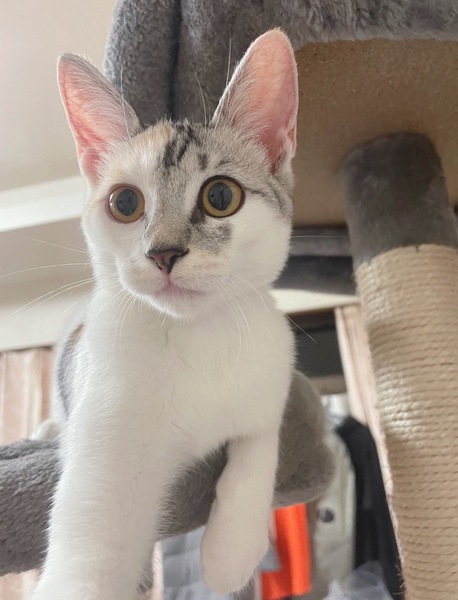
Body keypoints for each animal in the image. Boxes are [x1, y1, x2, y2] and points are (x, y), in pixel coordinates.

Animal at [31, 29, 299, 599]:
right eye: (124, 203)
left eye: (220, 195)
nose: (164, 253)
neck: (198, 336)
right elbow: (88, 563)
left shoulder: (273, 373)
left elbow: (261, 438)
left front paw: (231, 547)